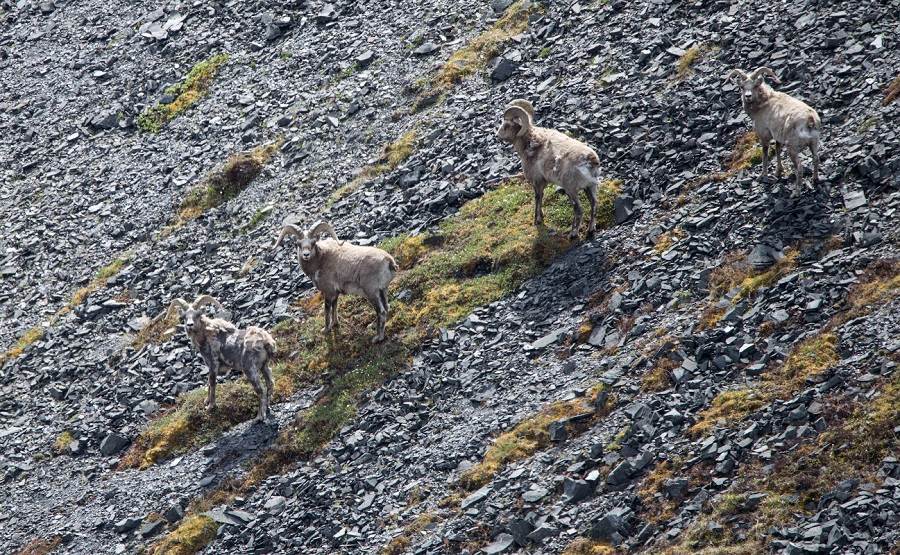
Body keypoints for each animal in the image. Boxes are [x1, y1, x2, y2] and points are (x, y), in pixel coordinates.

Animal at [496, 98, 600, 241]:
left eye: (506, 125)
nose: (497, 135)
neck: (529, 143)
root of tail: (590, 160)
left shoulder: (537, 181)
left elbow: (538, 197)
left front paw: (537, 220)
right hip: (589, 187)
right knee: (594, 204)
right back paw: (590, 230)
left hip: (571, 189)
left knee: (579, 209)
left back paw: (573, 234)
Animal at [724, 66, 824, 197]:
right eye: (742, 87)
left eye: (755, 86)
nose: (748, 96)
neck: (763, 104)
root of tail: (810, 120)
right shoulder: (778, 138)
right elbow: (777, 151)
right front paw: (778, 172)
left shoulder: (765, 137)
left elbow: (765, 155)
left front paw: (762, 176)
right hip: (813, 143)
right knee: (816, 158)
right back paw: (815, 180)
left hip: (792, 148)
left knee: (799, 168)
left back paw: (796, 193)